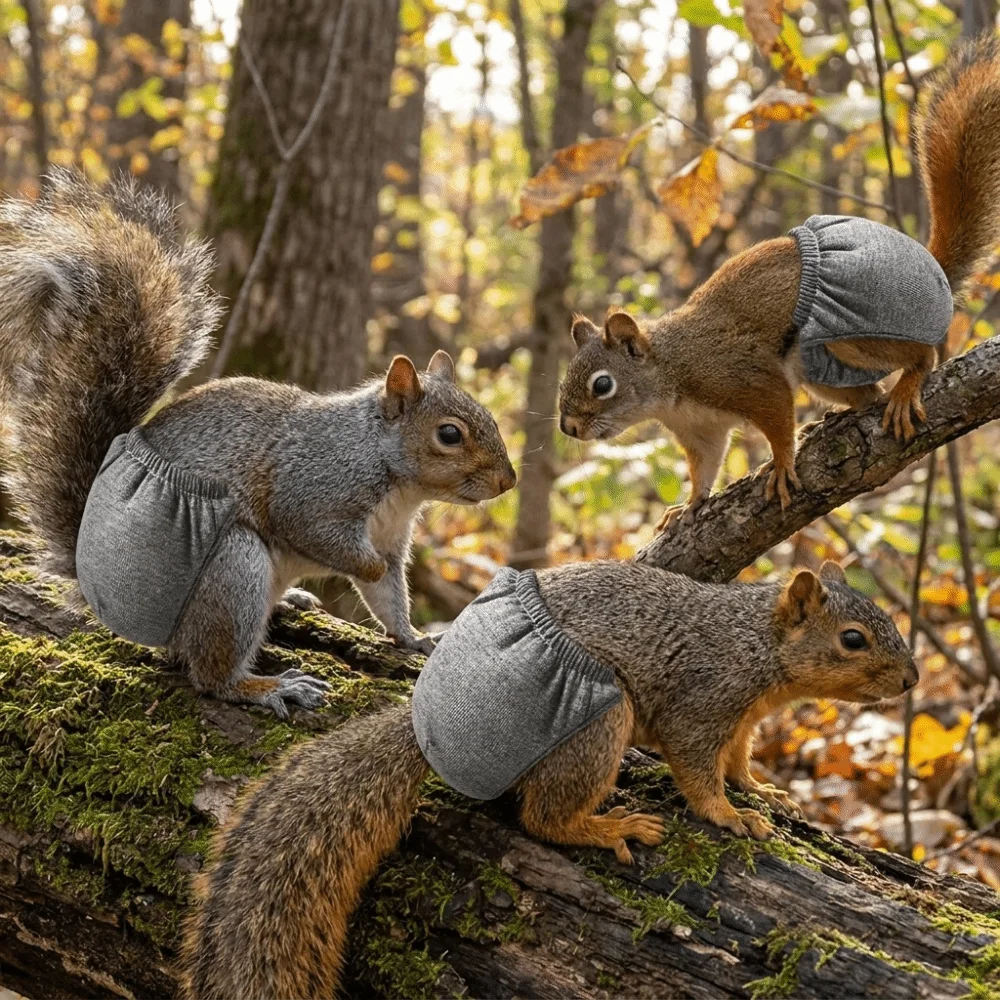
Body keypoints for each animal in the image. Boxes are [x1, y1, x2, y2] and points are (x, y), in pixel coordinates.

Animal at [0, 170, 516, 718]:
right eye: (449, 434)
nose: (508, 481)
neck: (393, 478)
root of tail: (103, 591)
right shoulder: (311, 489)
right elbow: (325, 539)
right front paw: (367, 570)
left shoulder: (392, 537)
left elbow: (390, 598)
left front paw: (416, 638)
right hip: (233, 567)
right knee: (209, 674)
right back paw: (266, 687)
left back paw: (290, 602)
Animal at [181, 558, 916, 999]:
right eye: (853, 639)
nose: (910, 680)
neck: (757, 644)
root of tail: (433, 730)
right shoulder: (702, 702)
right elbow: (698, 770)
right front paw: (729, 815)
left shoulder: (741, 720)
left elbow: (735, 760)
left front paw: (761, 789)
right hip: (598, 723)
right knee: (542, 818)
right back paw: (608, 826)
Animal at [558, 35, 1000, 529]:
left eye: (602, 385)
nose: (568, 427)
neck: (669, 375)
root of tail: (934, 273)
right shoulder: (700, 430)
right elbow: (704, 467)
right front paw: (688, 505)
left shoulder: (741, 377)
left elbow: (775, 416)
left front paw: (783, 463)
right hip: (822, 373)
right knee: (869, 394)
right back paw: (830, 418)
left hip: (852, 336)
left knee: (921, 357)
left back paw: (904, 389)